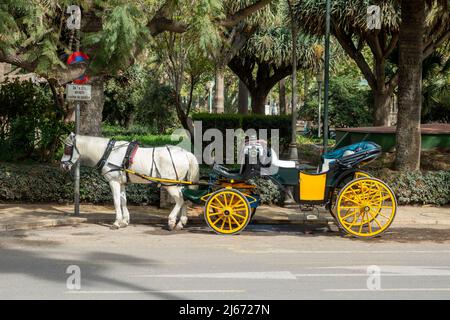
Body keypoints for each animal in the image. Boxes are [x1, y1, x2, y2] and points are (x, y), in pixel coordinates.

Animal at [60, 132, 199, 230]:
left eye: (67, 148)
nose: (63, 166)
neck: (108, 152)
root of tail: (186, 153)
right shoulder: (121, 183)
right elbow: (123, 201)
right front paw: (124, 221)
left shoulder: (114, 182)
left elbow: (116, 202)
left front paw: (116, 223)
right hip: (179, 183)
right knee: (185, 198)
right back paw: (181, 223)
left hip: (169, 184)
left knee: (180, 200)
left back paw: (171, 221)